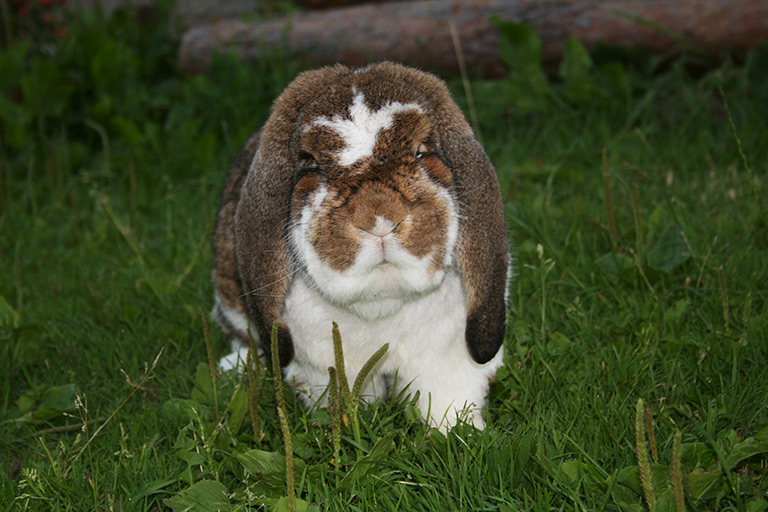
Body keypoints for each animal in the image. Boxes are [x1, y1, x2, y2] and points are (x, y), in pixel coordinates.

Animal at [210, 60, 510, 430]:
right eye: (310, 162)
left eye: (421, 151)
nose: (378, 218)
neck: (381, 303)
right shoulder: (325, 366)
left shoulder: (449, 360)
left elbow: (448, 401)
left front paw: (458, 431)